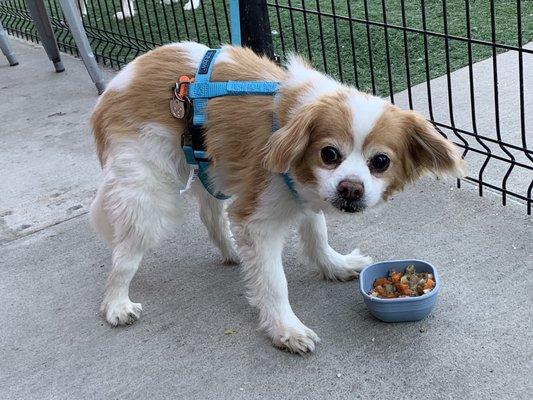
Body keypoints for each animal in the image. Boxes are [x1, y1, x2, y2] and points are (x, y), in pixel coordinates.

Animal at [90, 41, 462, 354]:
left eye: (381, 161)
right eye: (329, 154)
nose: (351, 189)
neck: (289, 125)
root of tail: (119, 82)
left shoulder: (305, 194)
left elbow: (317, 235)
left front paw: (334, 265)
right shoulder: (259, 220)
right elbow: (273, 282)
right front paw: (286, 329)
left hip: (206, 166)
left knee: (211, 215)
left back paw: (231, 252)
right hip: (146, 196)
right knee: (126, 255)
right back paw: (117, 303)